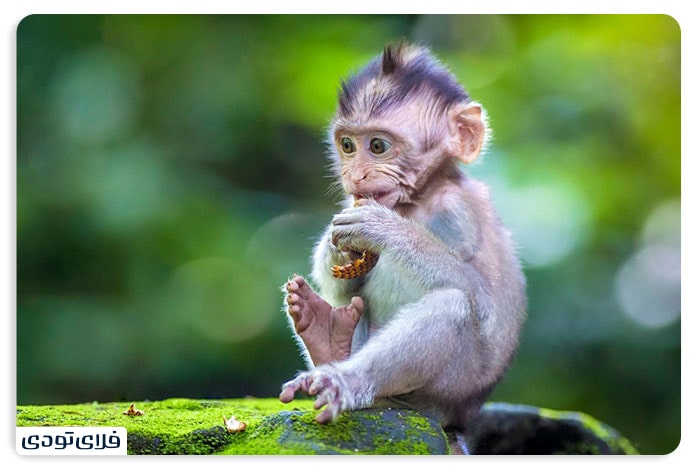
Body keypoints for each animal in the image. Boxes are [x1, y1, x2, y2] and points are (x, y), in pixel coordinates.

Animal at [279, 42, 527, 445]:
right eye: (347, 145)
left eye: (378, 146)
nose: (355, 175)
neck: (418, 200)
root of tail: (459, 417)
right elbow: (348, 284)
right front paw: (338, 246)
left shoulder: (461, 211)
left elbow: (484, 303)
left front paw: (383, 228)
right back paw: (325, 336)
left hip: (449, 389)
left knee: (452, 307)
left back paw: (346, 378)